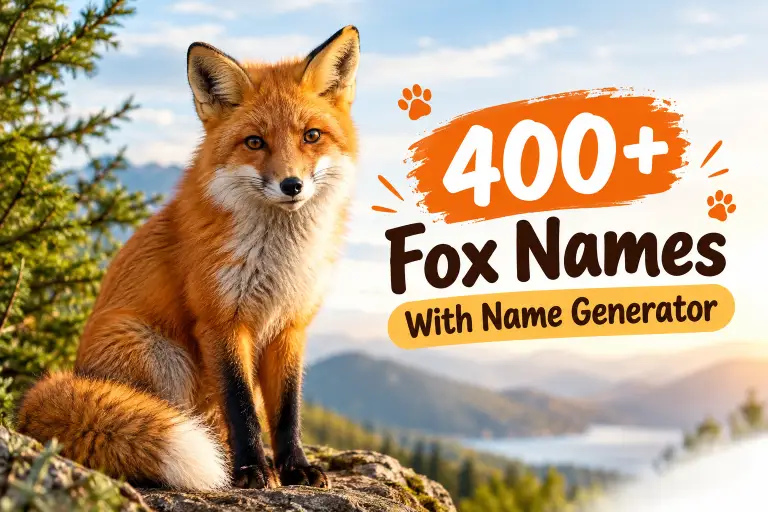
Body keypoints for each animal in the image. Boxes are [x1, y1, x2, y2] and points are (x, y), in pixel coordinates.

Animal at [16, 26, 361, 492]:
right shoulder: (220, 320)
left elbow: (287, 412)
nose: (292, 185)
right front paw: (251, 470)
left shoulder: (291, 325)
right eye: (255, 142)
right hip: (164, 356)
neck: (278, 261)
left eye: (311, 135)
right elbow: (241, 407)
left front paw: (295, 467)